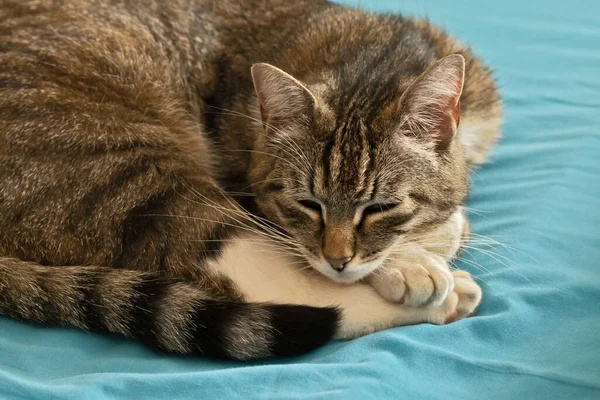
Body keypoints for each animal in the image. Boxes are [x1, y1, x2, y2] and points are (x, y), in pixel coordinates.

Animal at [0, 0, 502, 360]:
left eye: (380, 207)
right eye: (307, 204)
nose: (337, 260)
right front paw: (415, 261)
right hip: (123, 168)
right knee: (262, 279)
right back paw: (446, 296)